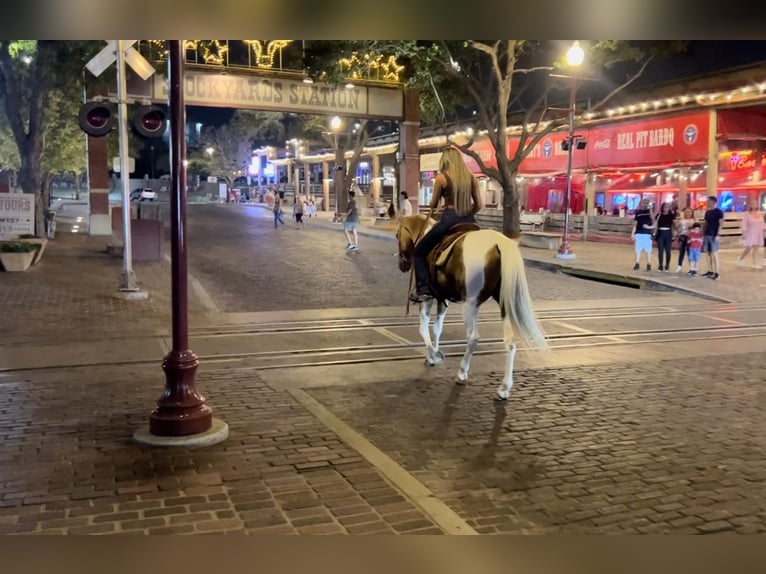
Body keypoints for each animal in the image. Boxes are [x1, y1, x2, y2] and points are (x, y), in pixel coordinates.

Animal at [396, 215, 552, 400]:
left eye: (397, 235)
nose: (402, 265)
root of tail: (499, 243)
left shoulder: (428, 297)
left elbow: (423, 327)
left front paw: (434, 356)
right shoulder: (442, 298)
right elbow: (437, 328)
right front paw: (433, 353)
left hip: (470, 304)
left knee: (473, 337)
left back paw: (462, 373)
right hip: (504, 303)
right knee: (510, 341)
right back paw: (504, 388)